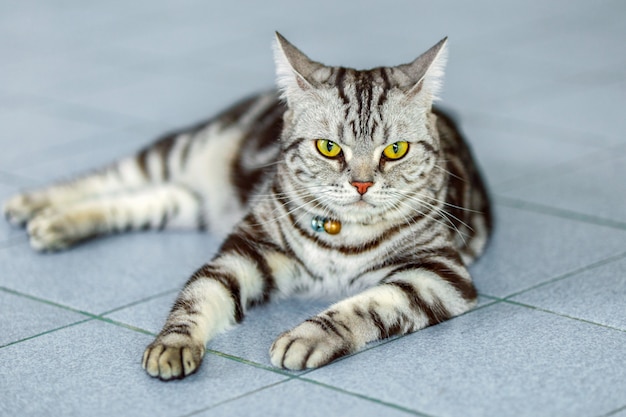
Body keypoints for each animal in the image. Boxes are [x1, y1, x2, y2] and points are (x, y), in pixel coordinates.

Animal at [2, 31, 490, 376]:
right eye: (329, 148)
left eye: (395, 150)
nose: (362, 185)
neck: (341, 235)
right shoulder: (244, 251)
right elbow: (196, 298)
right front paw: (173, 344)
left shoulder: (438, 273)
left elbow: (364, 306)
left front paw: (307, 337)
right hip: (181, 151)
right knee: (110, 177)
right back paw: (30, 204)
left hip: (194, 203)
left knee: (142, 200)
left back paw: (55, 223)